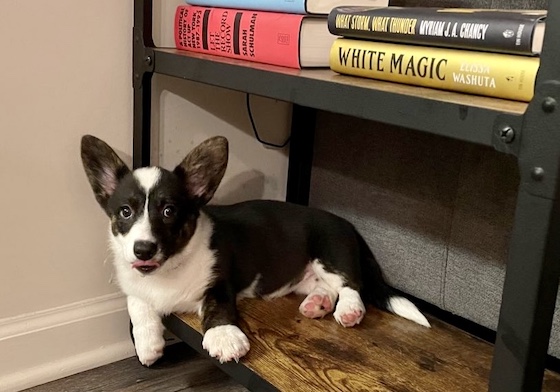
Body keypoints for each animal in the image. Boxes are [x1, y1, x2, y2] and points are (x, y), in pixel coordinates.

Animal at [80, 136, 428, 366]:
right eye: (125, 212)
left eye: (168, 211)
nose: (143, 249)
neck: (168, 269)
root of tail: (348, 225)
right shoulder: (134, 286)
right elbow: (137, 305)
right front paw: (148, 346)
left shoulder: (220, 282)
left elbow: (218, 308)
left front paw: (224, 338)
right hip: (310, 275)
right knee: (327, 287)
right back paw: (317, 304)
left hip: (330, 251)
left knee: (351, 285)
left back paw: (349, 311)